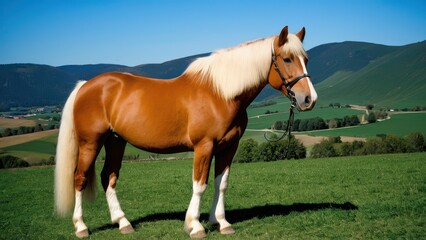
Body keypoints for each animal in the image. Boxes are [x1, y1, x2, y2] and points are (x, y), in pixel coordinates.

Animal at [54, 26, 316, 238]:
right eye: (287, 59)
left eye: (306, 59)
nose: (309, 99)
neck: (221, 94)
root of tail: (86, 86)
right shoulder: (204, 146)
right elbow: (199, 185)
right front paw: (195, 226)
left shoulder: (228, 147)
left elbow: (221, 183)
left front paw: (221, 222)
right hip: (90, 143)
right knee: (80, 178)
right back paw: (81, 227)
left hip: (116, 142)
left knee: (108, 178)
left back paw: (123, 223)